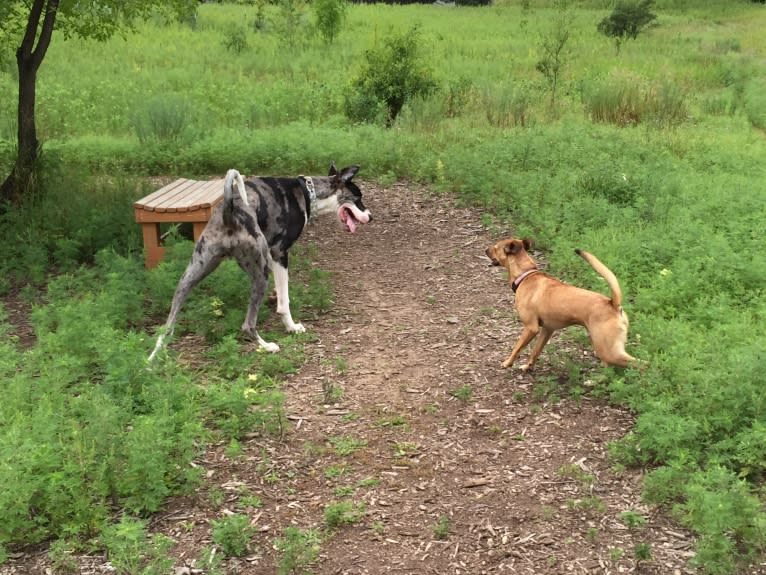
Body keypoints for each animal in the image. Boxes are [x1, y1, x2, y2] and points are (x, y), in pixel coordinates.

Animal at [149, 163, 372, 360]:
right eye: (358, 197)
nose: (370, 216)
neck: (310, 192)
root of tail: (230, 211)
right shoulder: (280, 253)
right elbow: (284, 301)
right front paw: (292, 327)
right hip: (259, 273)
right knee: (247, 324)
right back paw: (267, 346)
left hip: (192, 274)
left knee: (166, 328)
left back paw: (152, 360)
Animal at [488, 240, 640, 372]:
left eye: (495, 247)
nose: (485, 250)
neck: (525, 275)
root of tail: (613, 303)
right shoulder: (547, 329)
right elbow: (535, 351)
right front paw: (528, 366)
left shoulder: (531, 328)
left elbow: (517, 348)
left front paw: (507, 363)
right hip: (604, 348)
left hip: (608, 351)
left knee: (640, 364)